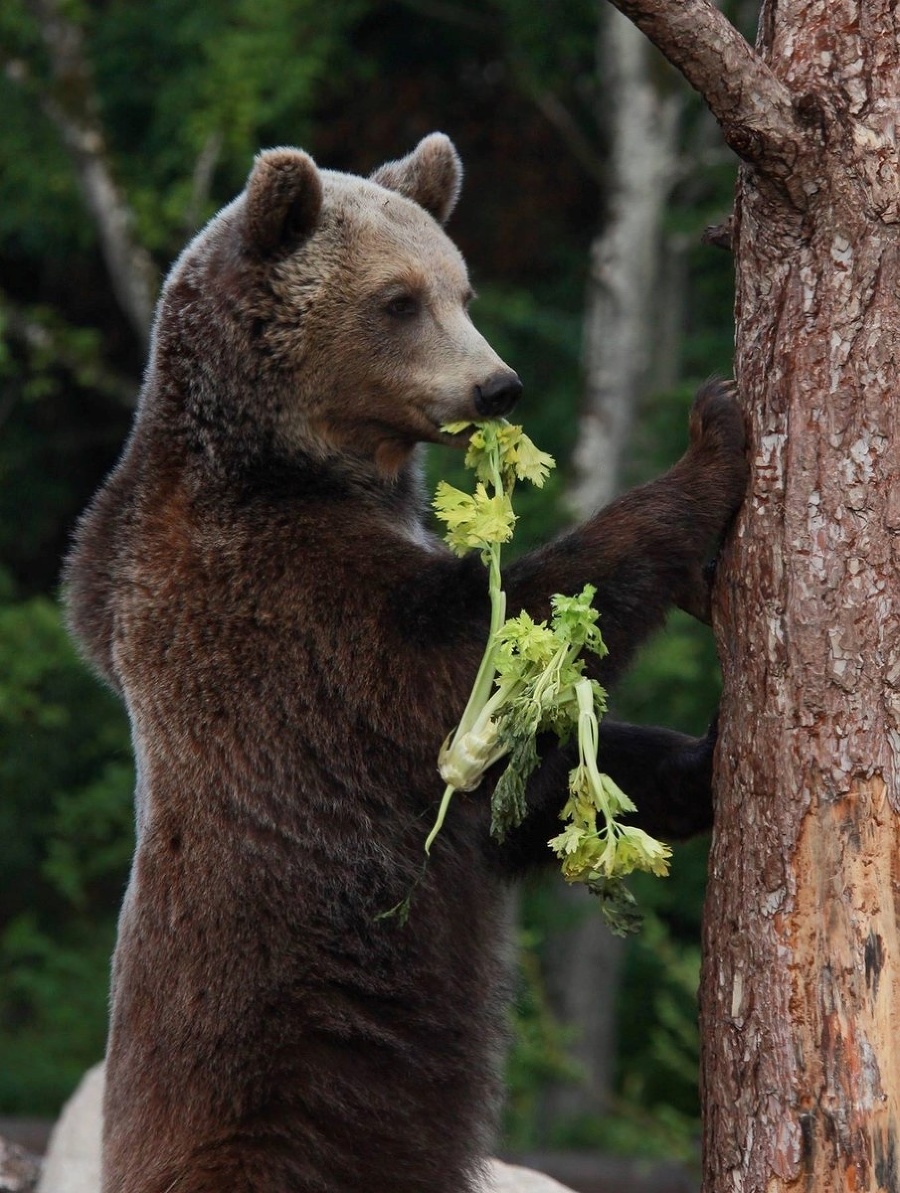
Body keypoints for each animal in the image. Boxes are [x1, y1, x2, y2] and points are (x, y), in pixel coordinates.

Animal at [64, 133, 744, 1193]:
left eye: (462, 288)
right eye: (397, 300)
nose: (498, 385)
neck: (289, 461)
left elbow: (518, 794)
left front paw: (700, 760)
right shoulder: (278, 603)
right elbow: (472, 659)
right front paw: (713, 434)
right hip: (274, 1110)